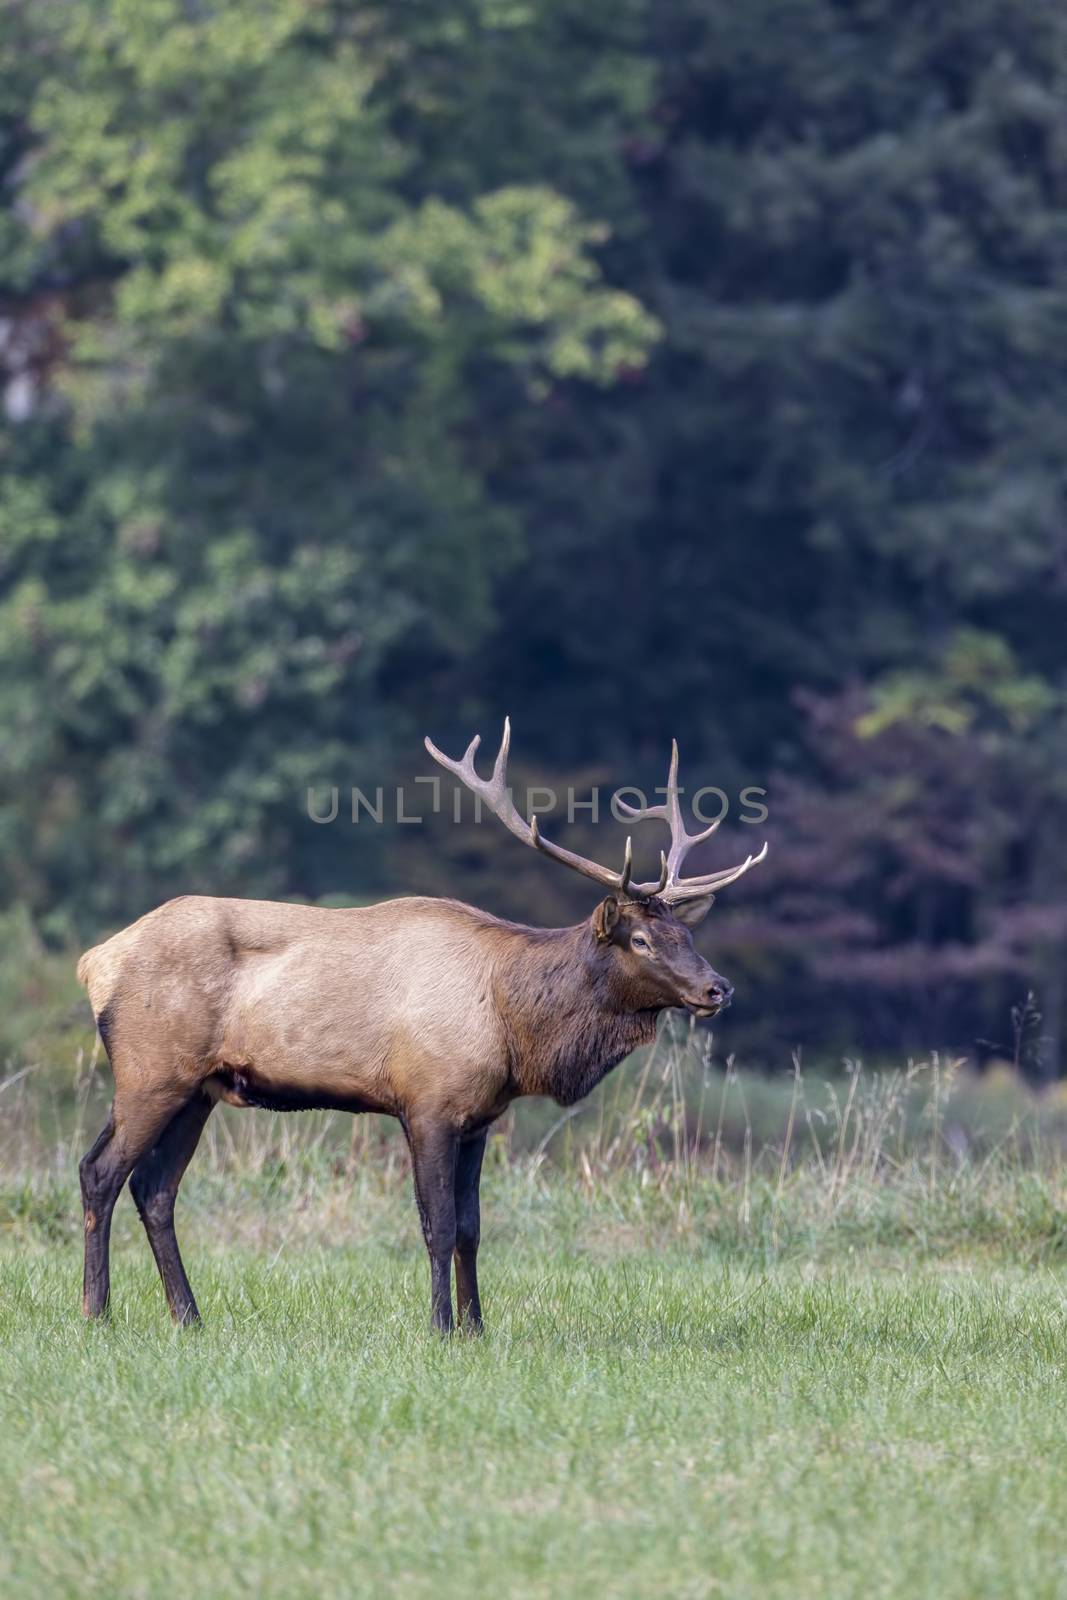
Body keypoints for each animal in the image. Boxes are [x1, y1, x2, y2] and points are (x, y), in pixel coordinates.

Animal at [79, 723, 767, 1324]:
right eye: (642, 940)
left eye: (687, 934)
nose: (718, 988)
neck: (513, 1026)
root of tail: (96, 962)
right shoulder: (428, 1101)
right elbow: (435, 1226)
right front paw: (439, 1327)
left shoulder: (481, 1117)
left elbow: (470, 1229)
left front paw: (477, 1328)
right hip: (152, 1071)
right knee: (101, 1173)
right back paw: (97, 1313)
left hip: (197, 1088)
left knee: (154, 1189)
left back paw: (189, 1318)